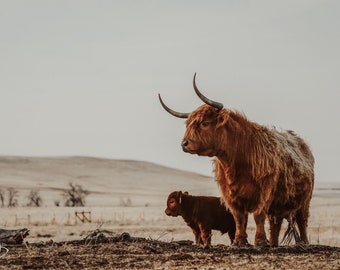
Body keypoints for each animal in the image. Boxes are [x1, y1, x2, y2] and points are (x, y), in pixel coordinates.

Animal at [158, 74, 314, 247]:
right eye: (188, 125)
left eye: (205, 123)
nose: (184, 144)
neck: (237, 159)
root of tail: (300, 142)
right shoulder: (230, 194)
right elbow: (239, 218)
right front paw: (239, 241)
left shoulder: (265, 190)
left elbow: (258, 215)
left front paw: (259, 241)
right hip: (279, 204)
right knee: (276, 223)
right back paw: (273, 244)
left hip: (305, 201)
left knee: (302, 220)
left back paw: (303, 243)